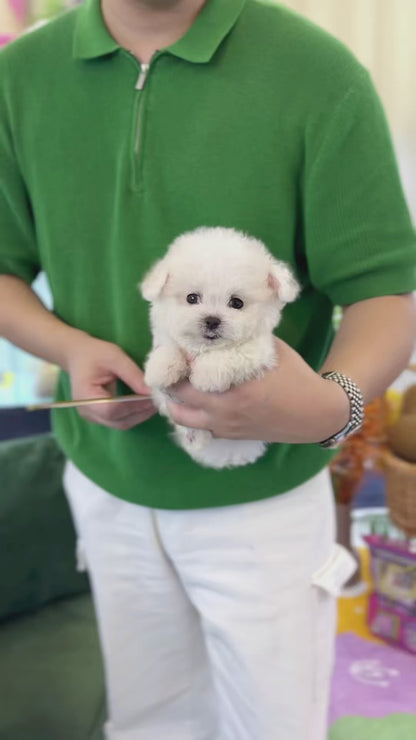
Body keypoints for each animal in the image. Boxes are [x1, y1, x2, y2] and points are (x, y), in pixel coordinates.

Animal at [140, 225, 300, 468]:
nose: (212, 320)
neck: (203, 348)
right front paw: (161, 368)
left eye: (236, 303)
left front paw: (205, 375)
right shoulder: (166, 337)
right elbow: (168, 346)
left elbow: (233, 353)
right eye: (192, 298)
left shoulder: (260, 350)